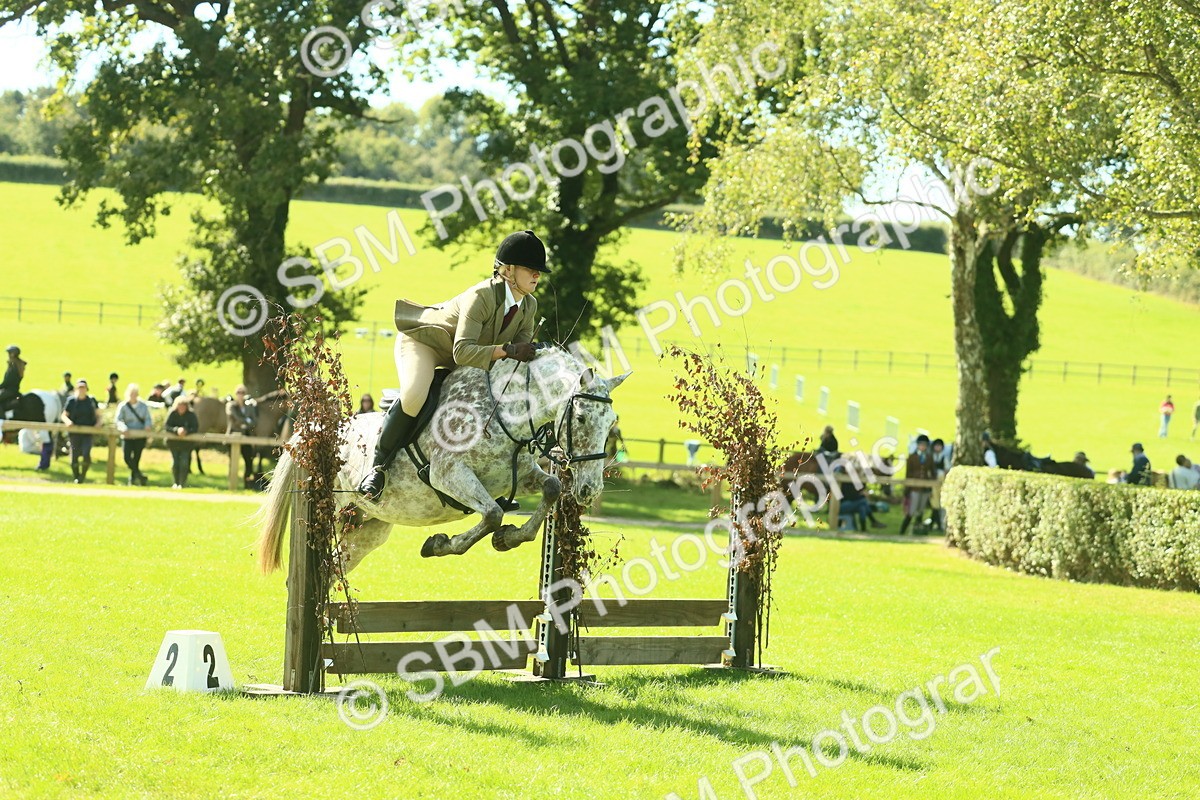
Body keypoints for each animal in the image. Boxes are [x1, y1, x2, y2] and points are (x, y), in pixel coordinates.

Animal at [256, 347, 629, 574]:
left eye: (612, 422)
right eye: (580, 417)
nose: (588, 490)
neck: (508, 411)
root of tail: (313, 431)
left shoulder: (518, 474)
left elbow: (550, 488)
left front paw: (507, 539)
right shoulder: (448, 474)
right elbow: (491, 514)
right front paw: (439, 545)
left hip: (367, 528)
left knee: (337, 566)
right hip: (333, 512)